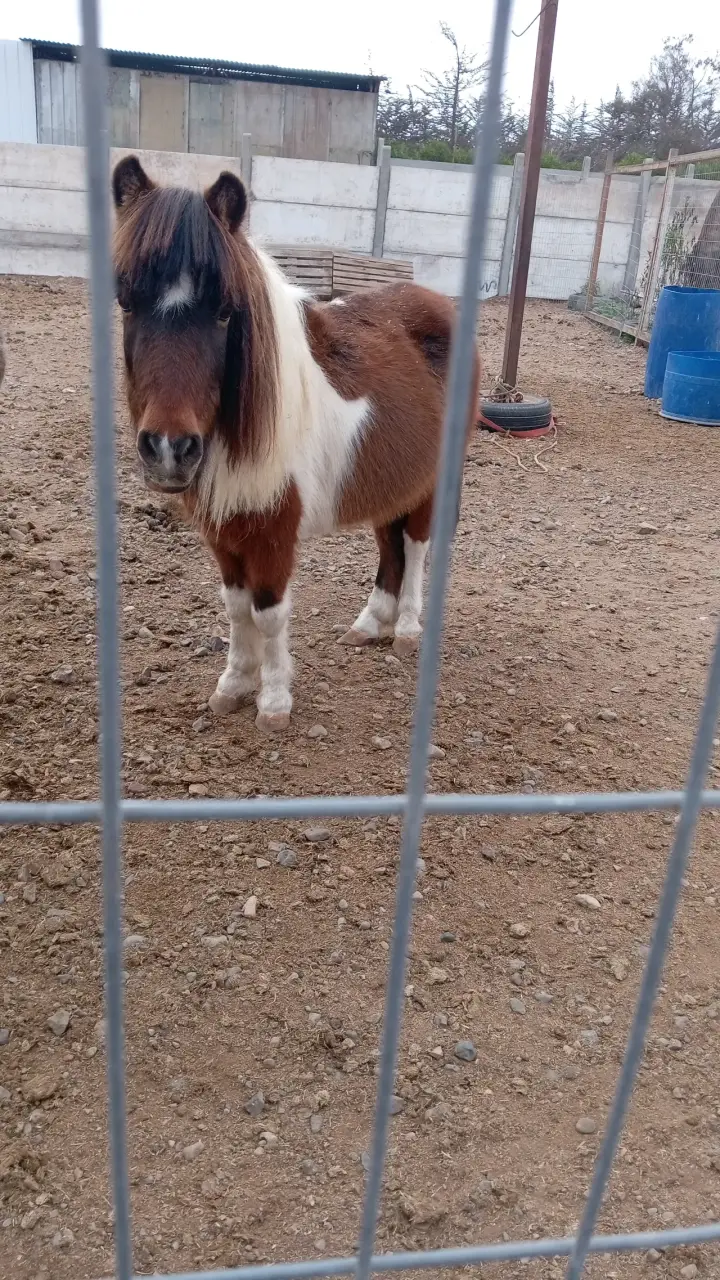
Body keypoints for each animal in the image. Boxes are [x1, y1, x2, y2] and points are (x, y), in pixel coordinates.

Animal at [112, 155, 480, 733]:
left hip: (430, 480)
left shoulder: (273, 535)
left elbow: (269, 614)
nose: (169, 449)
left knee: (417, 546)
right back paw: (370, 623)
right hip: (387, 481)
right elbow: (236, 609)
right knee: (389, 547)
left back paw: (406, 630)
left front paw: (273, 701)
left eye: (225, 312)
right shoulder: (225, 533)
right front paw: (232, 686)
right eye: (127, 303)